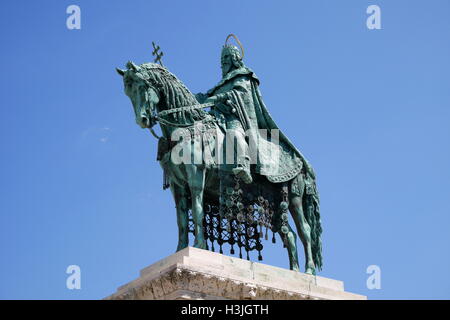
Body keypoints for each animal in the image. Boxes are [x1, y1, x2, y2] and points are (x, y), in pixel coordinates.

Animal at [114, 61, 322, 274]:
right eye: (127, 92)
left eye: (141, 86)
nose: (142, 120)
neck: (184, 127)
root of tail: (303, 162)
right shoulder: (176, 184)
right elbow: (181, 218)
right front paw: (180, 249)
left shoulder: (196, 174)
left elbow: (197, 209)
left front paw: (199, 245)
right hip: (276, 203)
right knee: (289, 234)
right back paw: (294, 271)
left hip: (294, 197)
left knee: (304, 230)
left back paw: (309, 271)